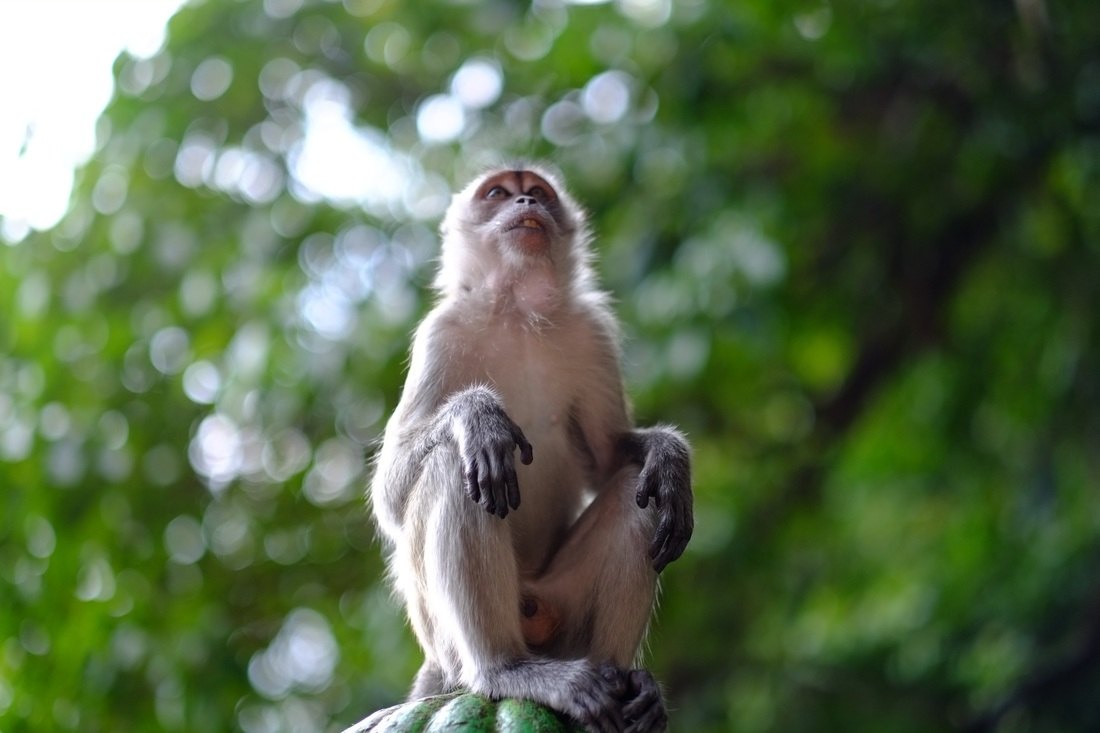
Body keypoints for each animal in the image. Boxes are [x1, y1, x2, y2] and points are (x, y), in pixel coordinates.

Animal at [369, 164, 693, 733]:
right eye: (498, 193)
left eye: (538, 192)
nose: (525, 202)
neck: (517, 310)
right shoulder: (439, 334)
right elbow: (390, 496)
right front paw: (476, 416)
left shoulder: (593, 333)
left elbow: (608, 458)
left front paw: (668, 455)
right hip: (447, 639)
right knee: (457, 465)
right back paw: (506, 670)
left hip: (562, 612)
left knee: (636, 487)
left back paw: (626, 684)